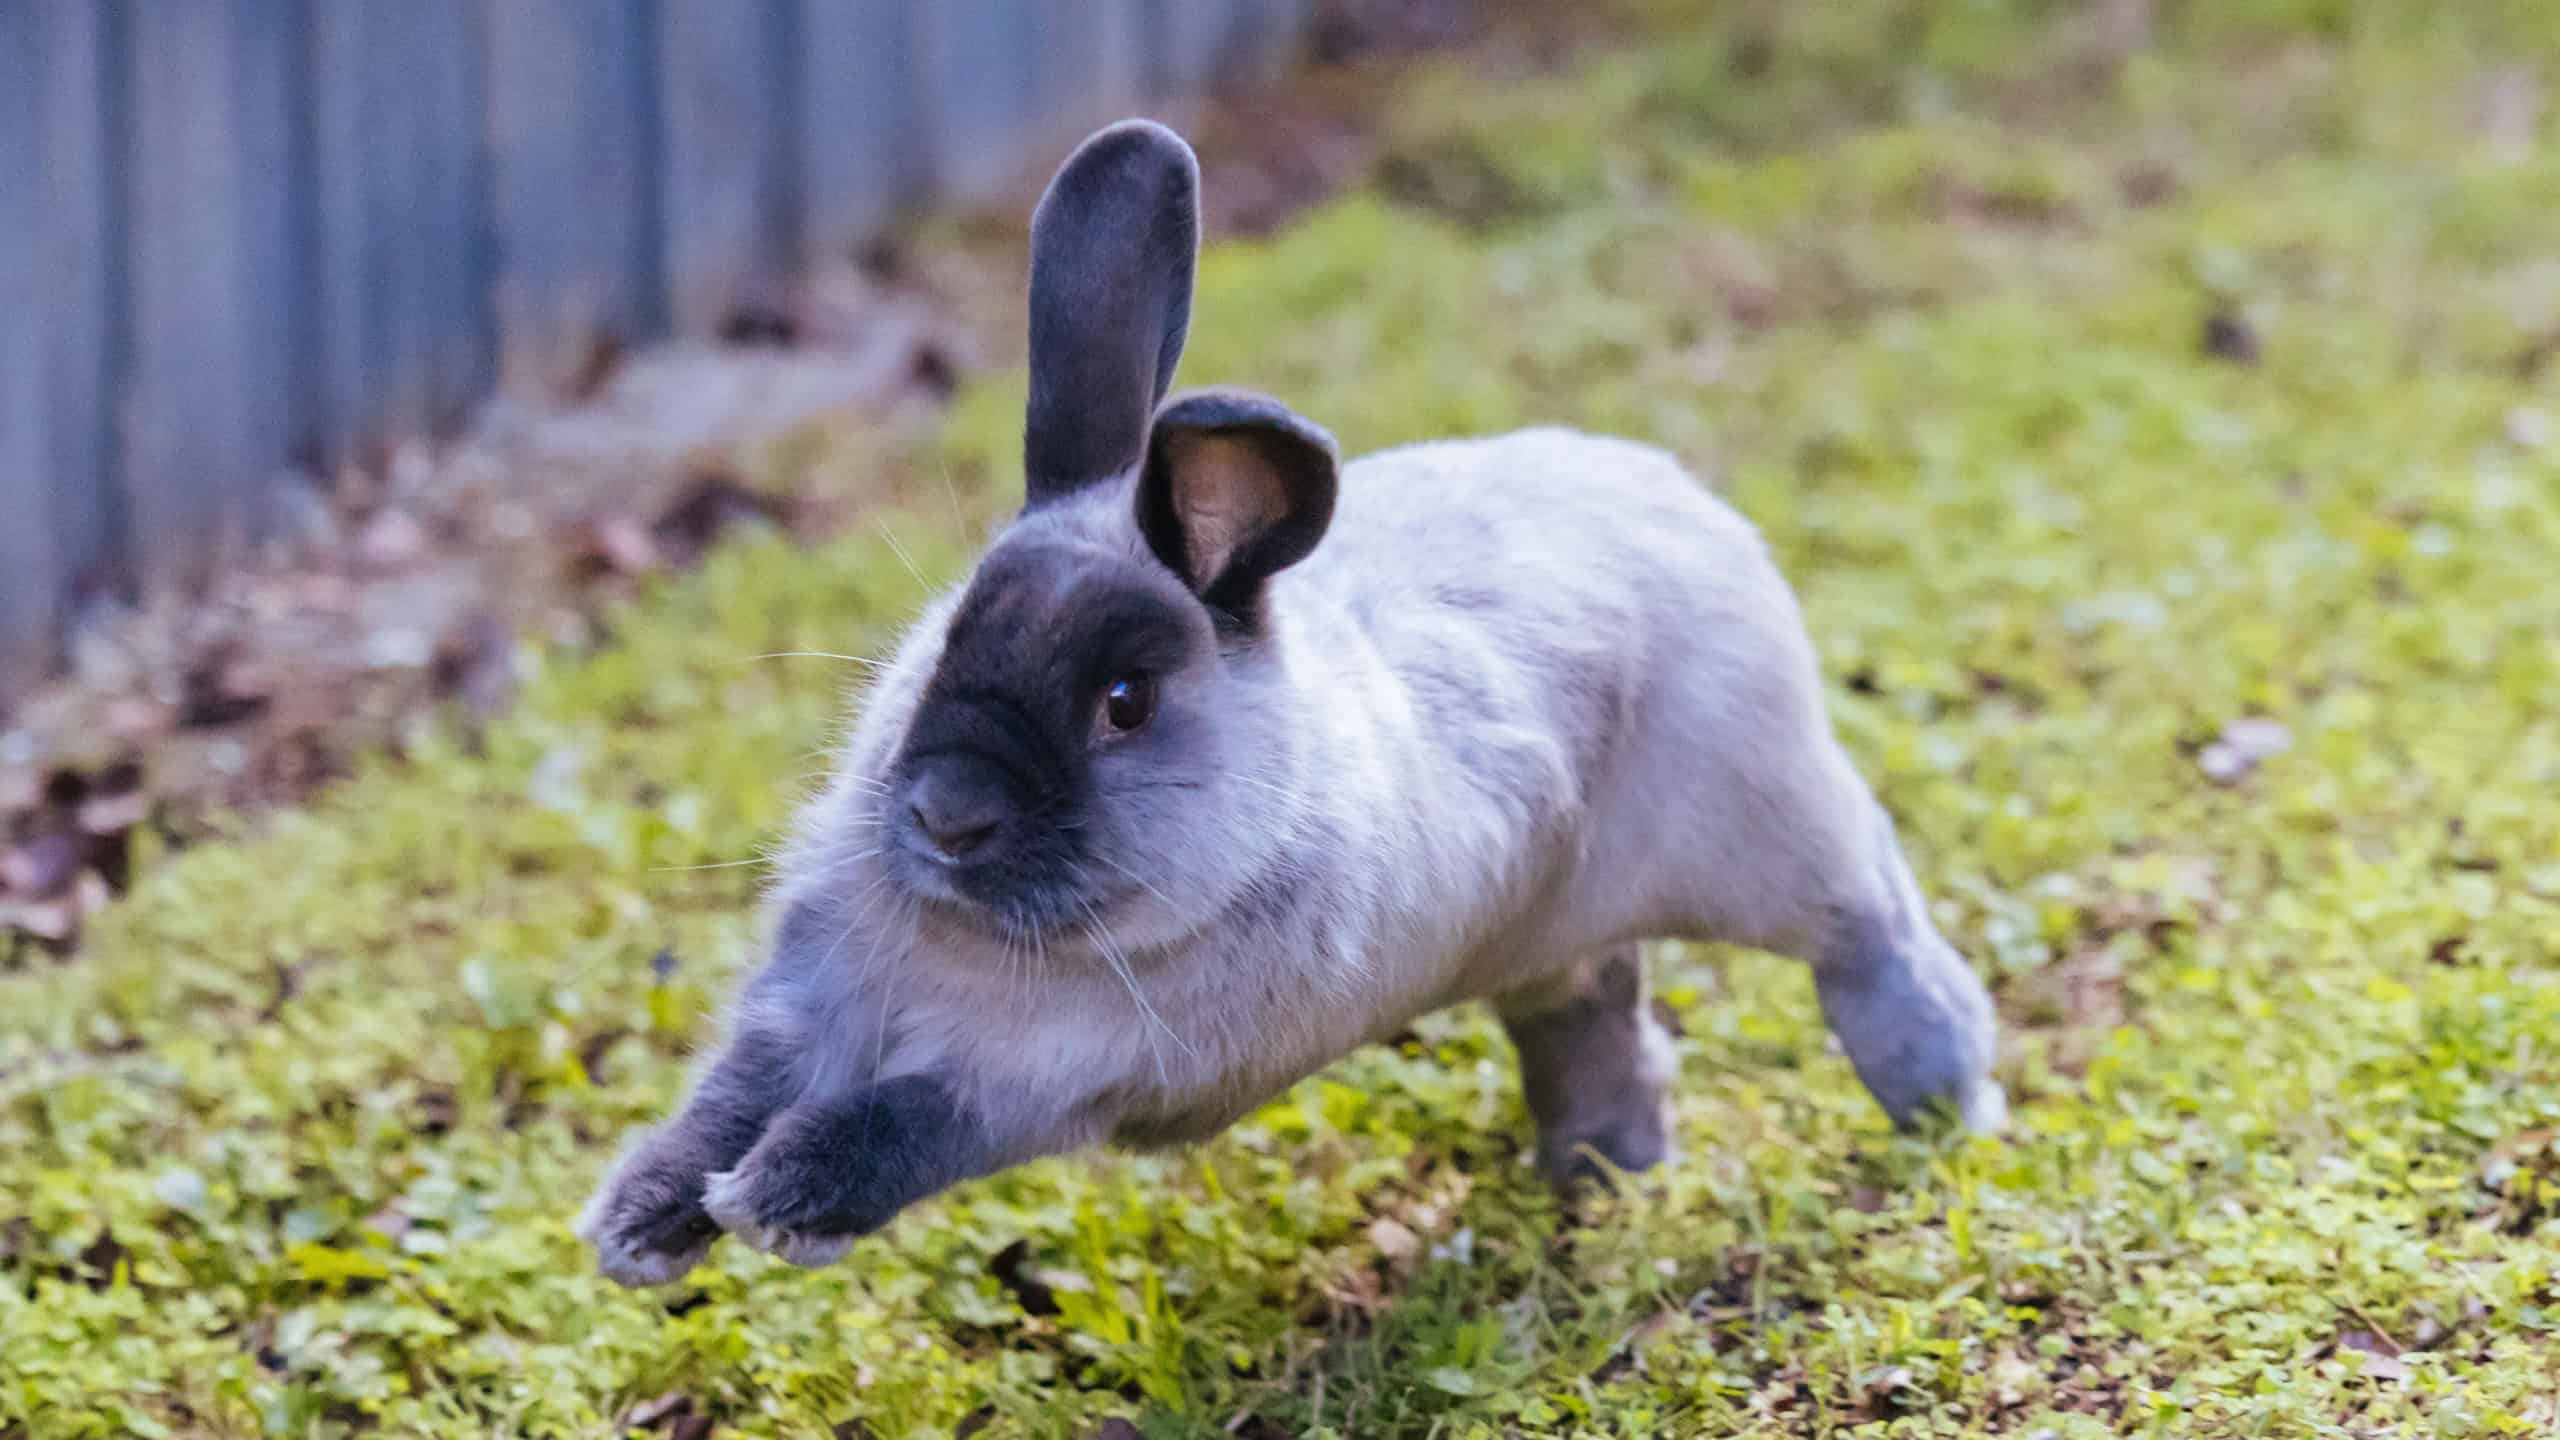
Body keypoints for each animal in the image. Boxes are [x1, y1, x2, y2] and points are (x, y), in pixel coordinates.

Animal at [578, 119, 2005, 1287]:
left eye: (1124, 701)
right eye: (942, 641)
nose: (944, 812)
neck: (991, 941)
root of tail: (1670, 493)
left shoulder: (1050, 1081)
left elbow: (899, 1125)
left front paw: (774, 1202)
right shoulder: (804, 1011)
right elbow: (721, 1101)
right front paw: (639, 1226)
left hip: (1775, 836)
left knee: (1872, 931)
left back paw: (1945, 1105)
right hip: (1548, 927)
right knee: (1593, 1007)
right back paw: (1601, 1171)